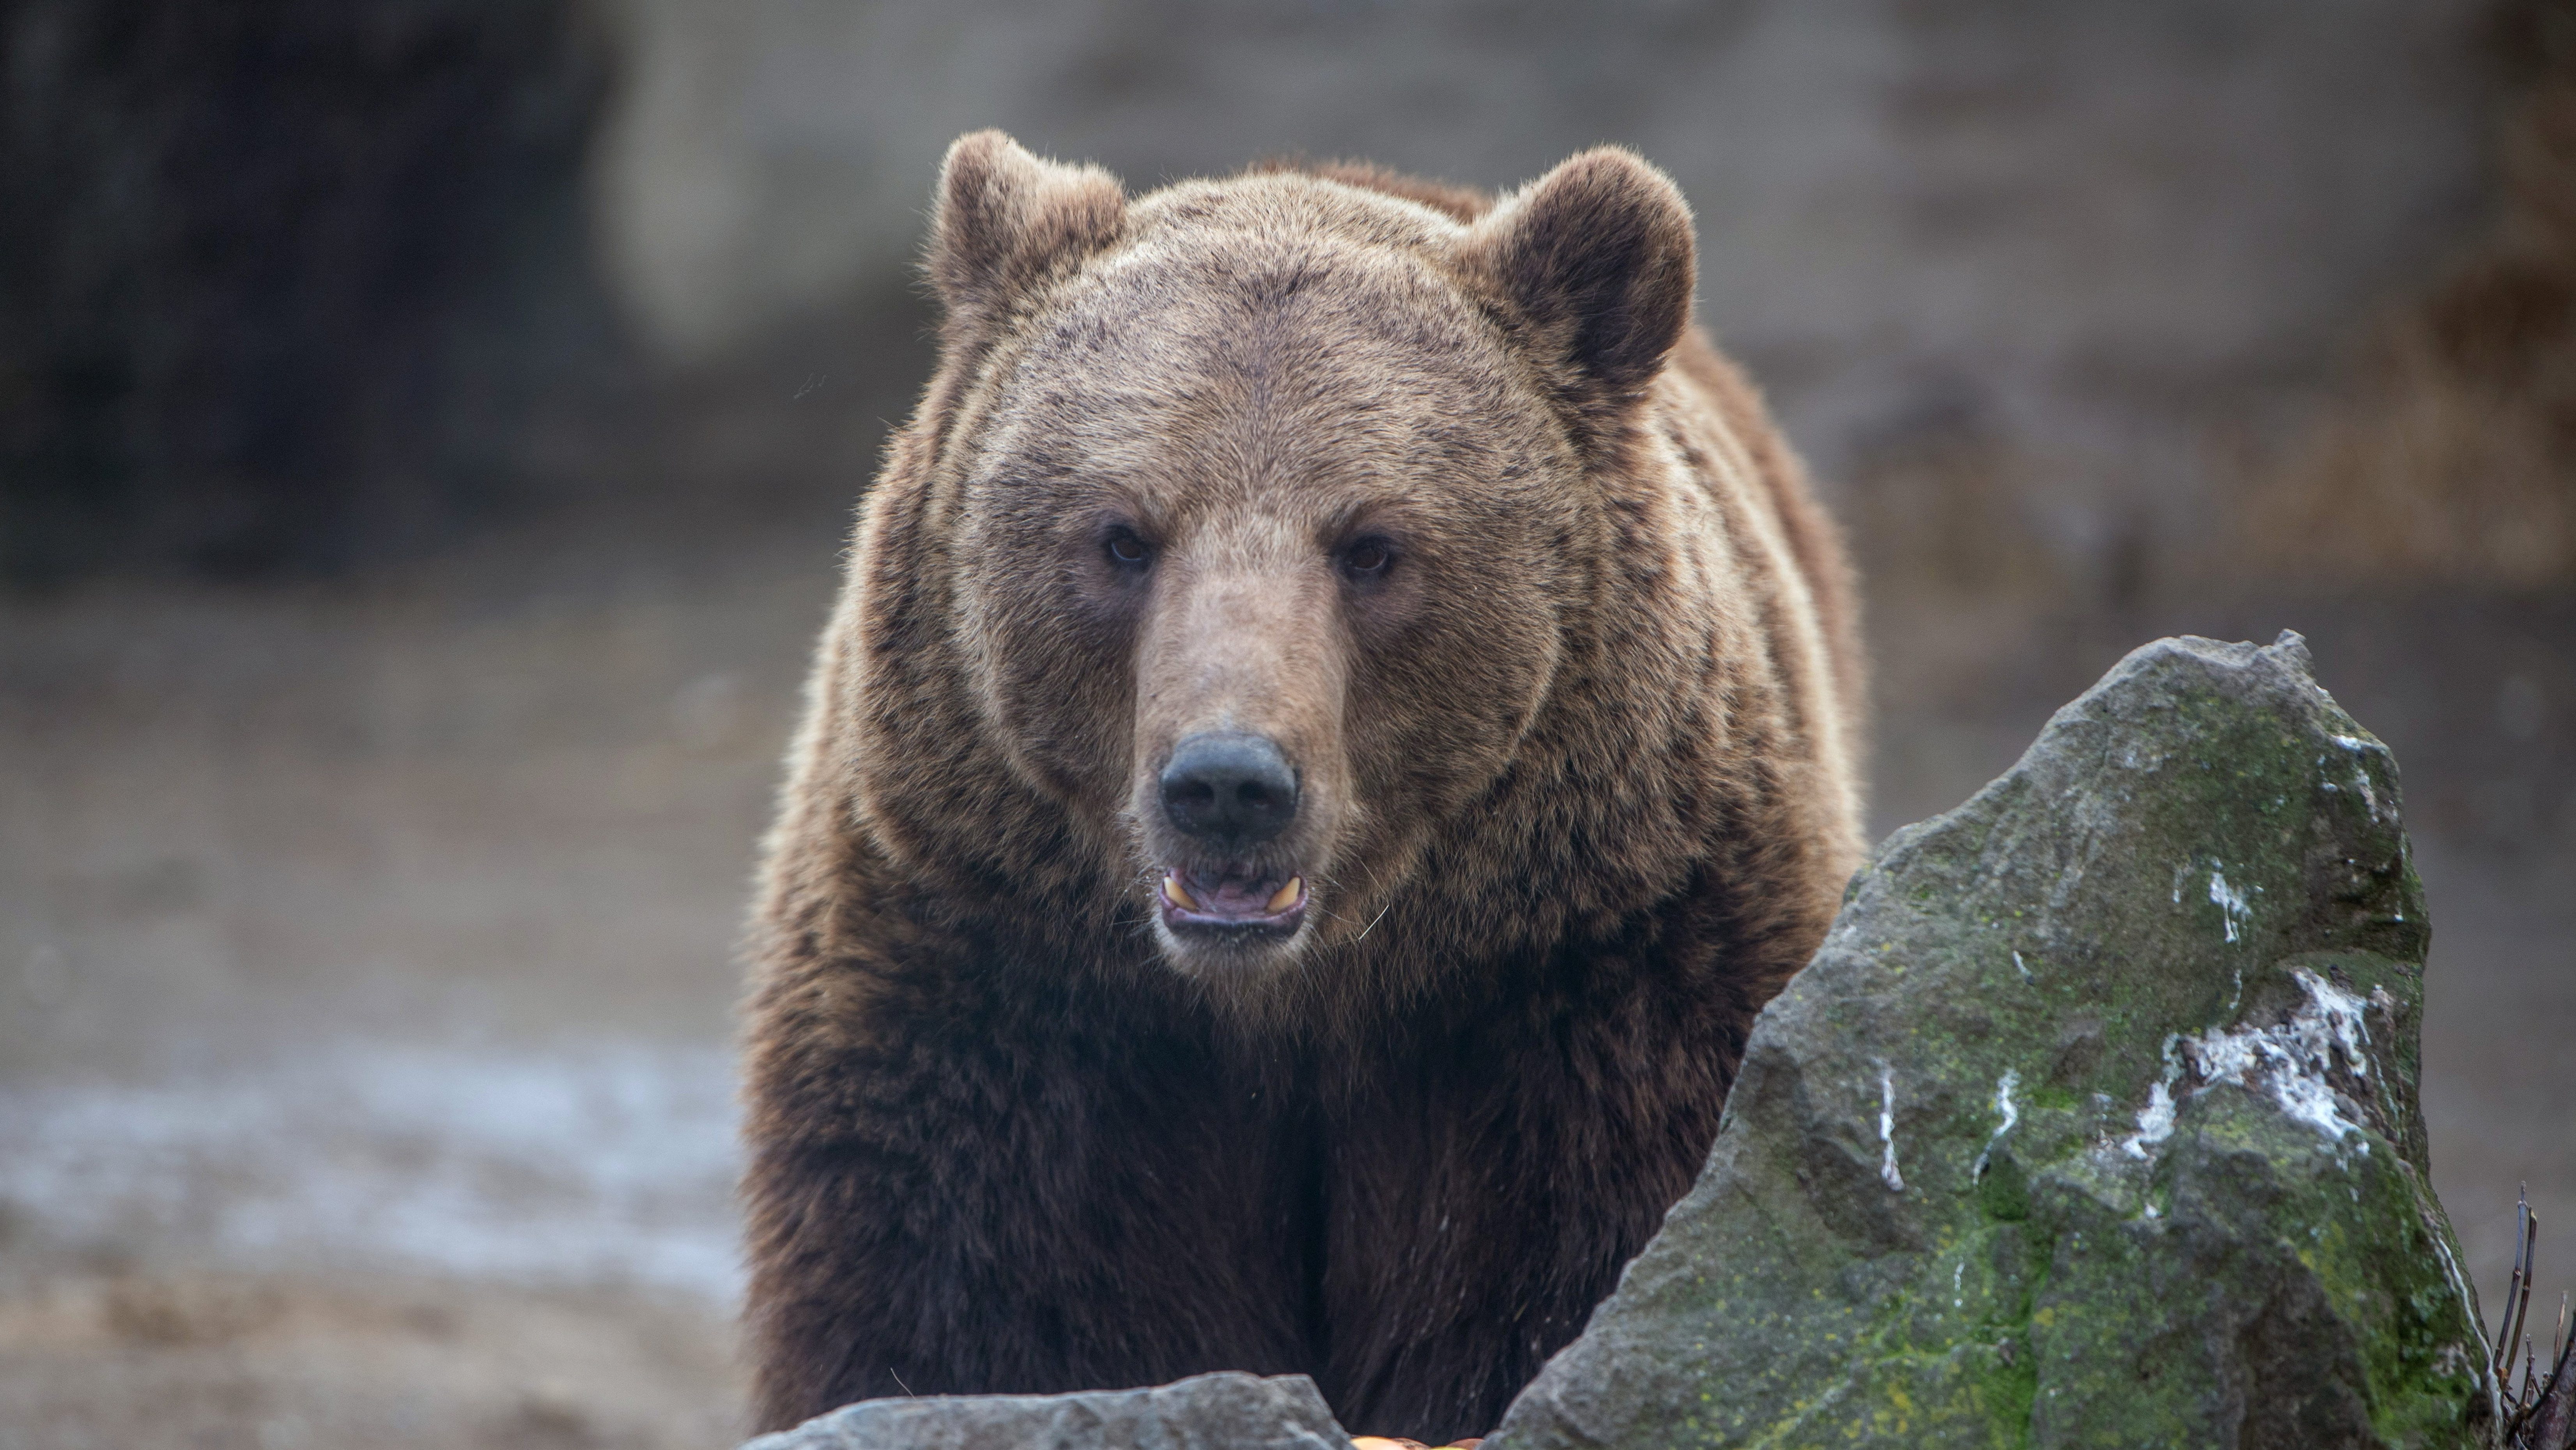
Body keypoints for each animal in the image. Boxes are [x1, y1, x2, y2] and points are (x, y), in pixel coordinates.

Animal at [737, 131, 1865, 1442]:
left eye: (1371, 546)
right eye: (1122, 535)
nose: (1227, 782)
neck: (1294, 1004)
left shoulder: (1594, 977)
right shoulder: (1001, 1001)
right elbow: (969, 1309)